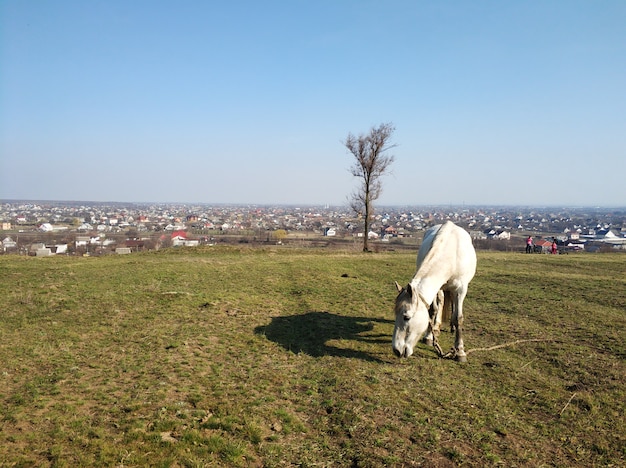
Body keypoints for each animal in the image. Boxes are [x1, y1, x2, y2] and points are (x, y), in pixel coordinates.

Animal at [392, 221, 476, 360]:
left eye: (406, 317)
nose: (397, 351)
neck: (451, 255)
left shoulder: (461, 290)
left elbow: (458, 318)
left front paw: (460, 351)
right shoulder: (436, 287)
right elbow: (433, 310)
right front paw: (429, 337)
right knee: (441, 302)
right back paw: (436, 328)